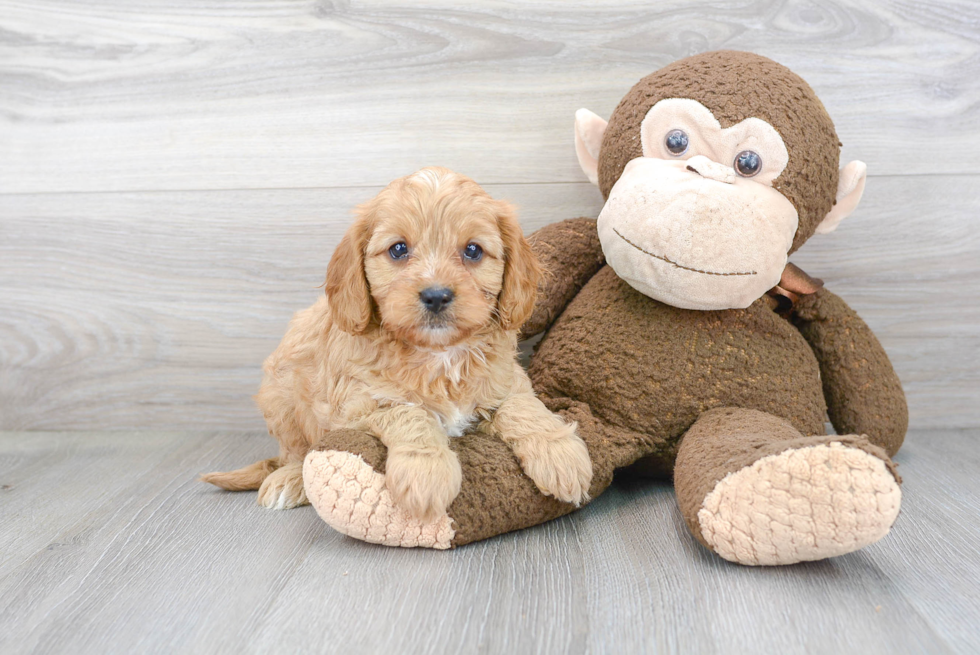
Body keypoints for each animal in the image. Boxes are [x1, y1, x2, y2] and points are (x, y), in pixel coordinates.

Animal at [203, 169, 592, 524]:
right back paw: (288, 480)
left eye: (473, 250)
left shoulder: (507, 379)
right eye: (398, 249)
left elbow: (522, 406)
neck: (439, 355)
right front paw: (426, 474)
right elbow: (410, 413)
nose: (436, 295)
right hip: (281, 395)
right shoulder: (357, 406)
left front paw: (561, 453)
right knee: (294, 453)